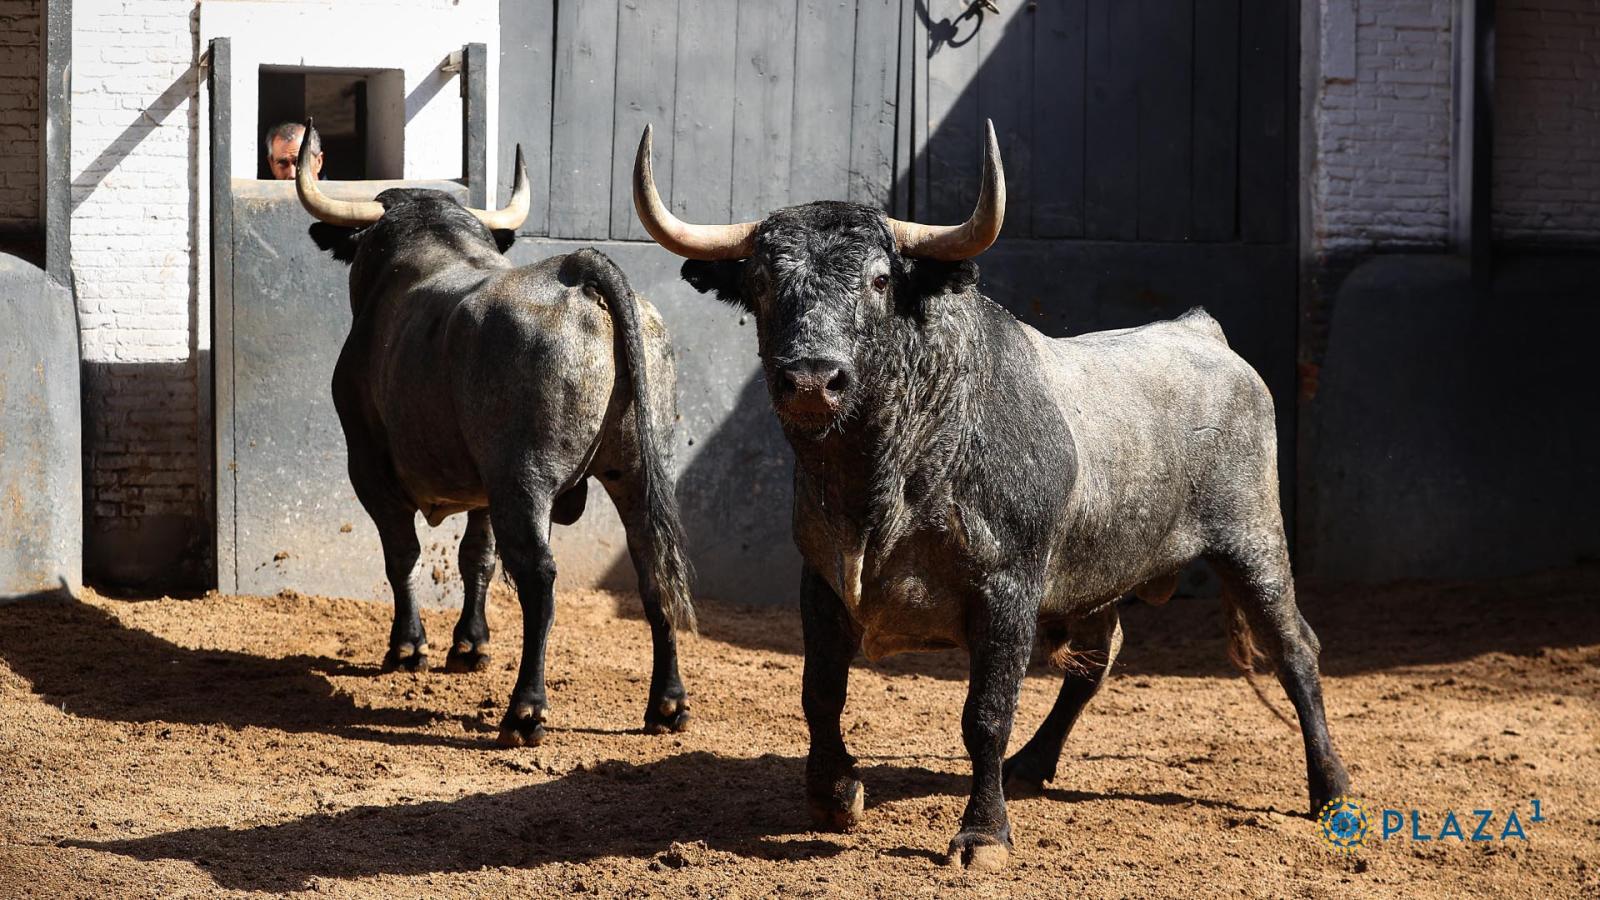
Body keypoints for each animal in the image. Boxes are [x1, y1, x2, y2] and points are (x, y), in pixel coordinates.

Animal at [297, 119, 697, 743]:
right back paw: (667, 703)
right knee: (655, 566)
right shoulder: (481, 485)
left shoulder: (368, 465)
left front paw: (409, 647)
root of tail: (579, 275)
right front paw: (469, 645)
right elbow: (476, 556)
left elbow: (402, 554)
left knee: (538, 576)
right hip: (637, 472)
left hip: (523, 479)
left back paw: (525, 710)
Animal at [636, 115, 1350, 864]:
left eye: (880, 279)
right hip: (1102, 573)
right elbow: (821, 693)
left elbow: (985, 713)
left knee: (1295, 649)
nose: (810, 379)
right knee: (1097, 658)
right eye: (763, 280)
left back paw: (1330, 789)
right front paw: (834, 794)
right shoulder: (822, 581)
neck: (886, 478)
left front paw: (983, 834)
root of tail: (1201, 332)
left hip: (1253, 543)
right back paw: (1033, 764)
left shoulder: (1007, 591)